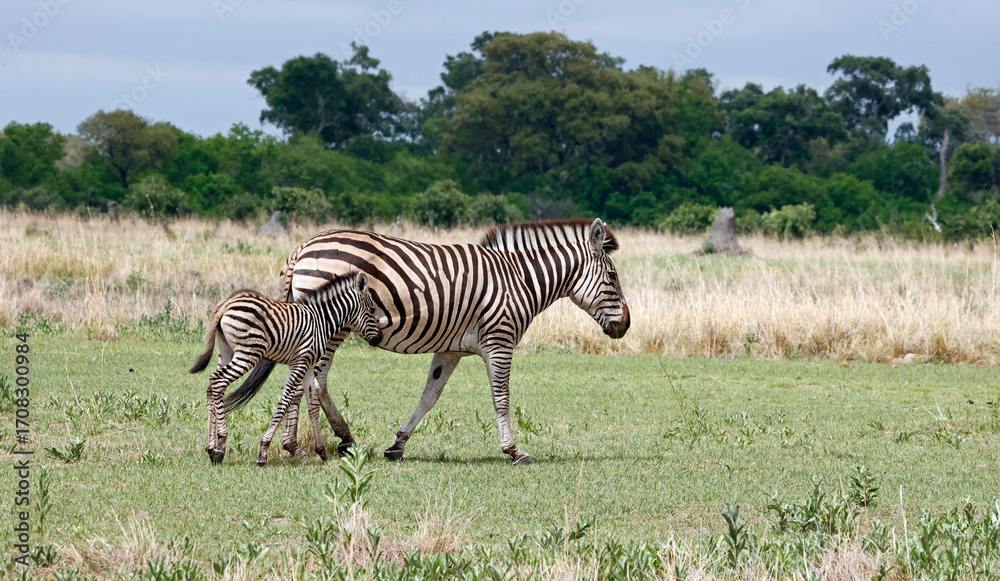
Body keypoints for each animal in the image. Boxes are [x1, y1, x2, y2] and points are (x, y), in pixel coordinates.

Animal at [189, 272, 382, 466]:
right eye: (372, 310)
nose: (379, 338)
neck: (322, 320)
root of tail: (226, 304)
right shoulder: (300, 362)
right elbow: (284, 402)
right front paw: (263, 451)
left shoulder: (309, 365)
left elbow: (313, 407)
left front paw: (322, 452)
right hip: (248, 352)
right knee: (218, 381)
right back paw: (221, 446)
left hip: (225, 351)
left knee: (212, 387)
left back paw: (211, 449)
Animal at [224, 219, 630, 465]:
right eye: (612, 277)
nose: (625, 326)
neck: (518, 280)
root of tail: (303, 247)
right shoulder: (499, 341)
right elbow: (501, 397)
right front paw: (514, 450)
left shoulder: (450, 349)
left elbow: (429, 396)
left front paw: (398, 444)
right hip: (332, 322)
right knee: (314, 382)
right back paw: (337, 440)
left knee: (301, 380)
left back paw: (294, 445)